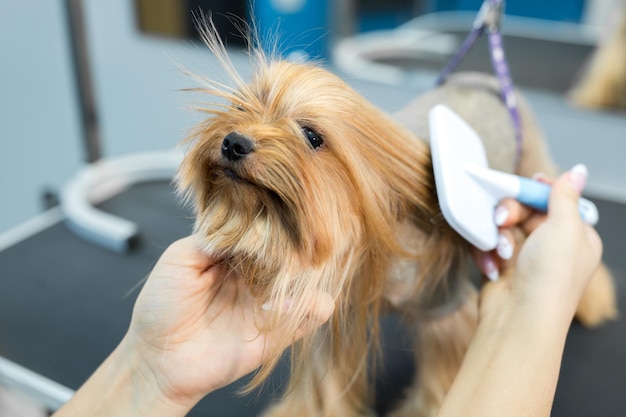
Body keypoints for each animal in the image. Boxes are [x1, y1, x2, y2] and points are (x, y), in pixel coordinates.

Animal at [174, 21, 616, 414]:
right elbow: (326, 388)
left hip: (534, 162)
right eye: (240, 107)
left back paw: (593, 300)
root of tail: (489, 80)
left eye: (312, 136)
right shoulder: (331, 312)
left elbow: (440, 379)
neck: (365, 240)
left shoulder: (443, 309)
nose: (233, 142)